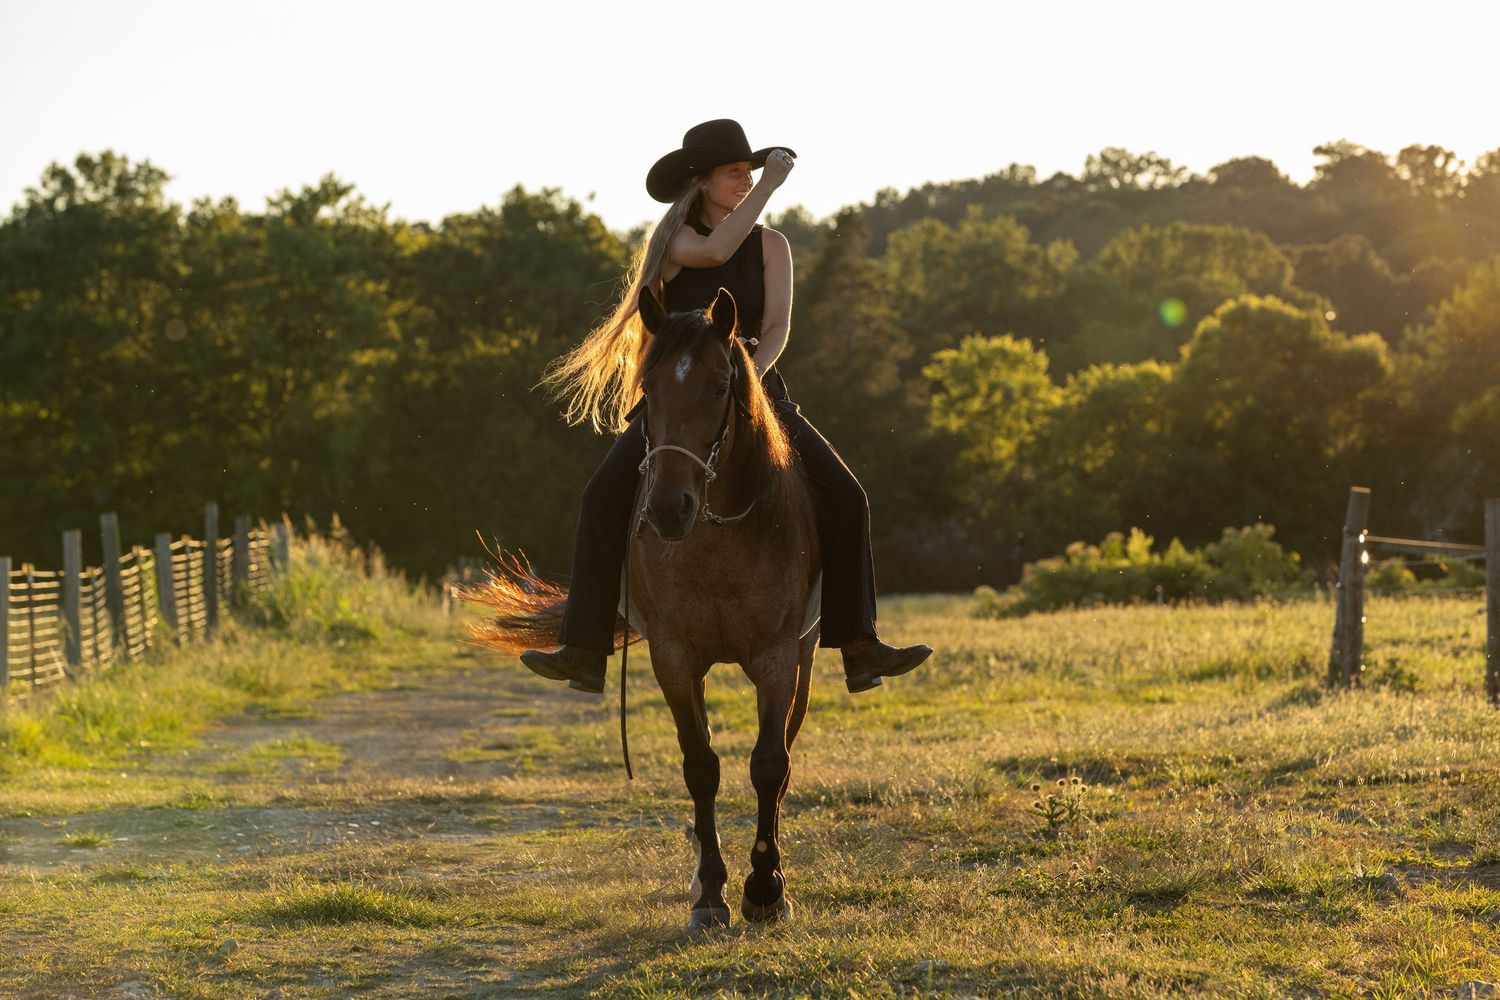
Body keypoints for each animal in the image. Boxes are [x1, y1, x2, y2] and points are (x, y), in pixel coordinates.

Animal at [466, 286, 821, 929]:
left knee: (782, 758)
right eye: (648, 389)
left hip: (802, 662)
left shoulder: (778, 658)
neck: (718, 534)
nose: (669, 508)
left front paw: (765, 889)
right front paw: (711, 894)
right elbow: (701, 766)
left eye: (719, 387)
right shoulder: (674, 658)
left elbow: (768, 764)